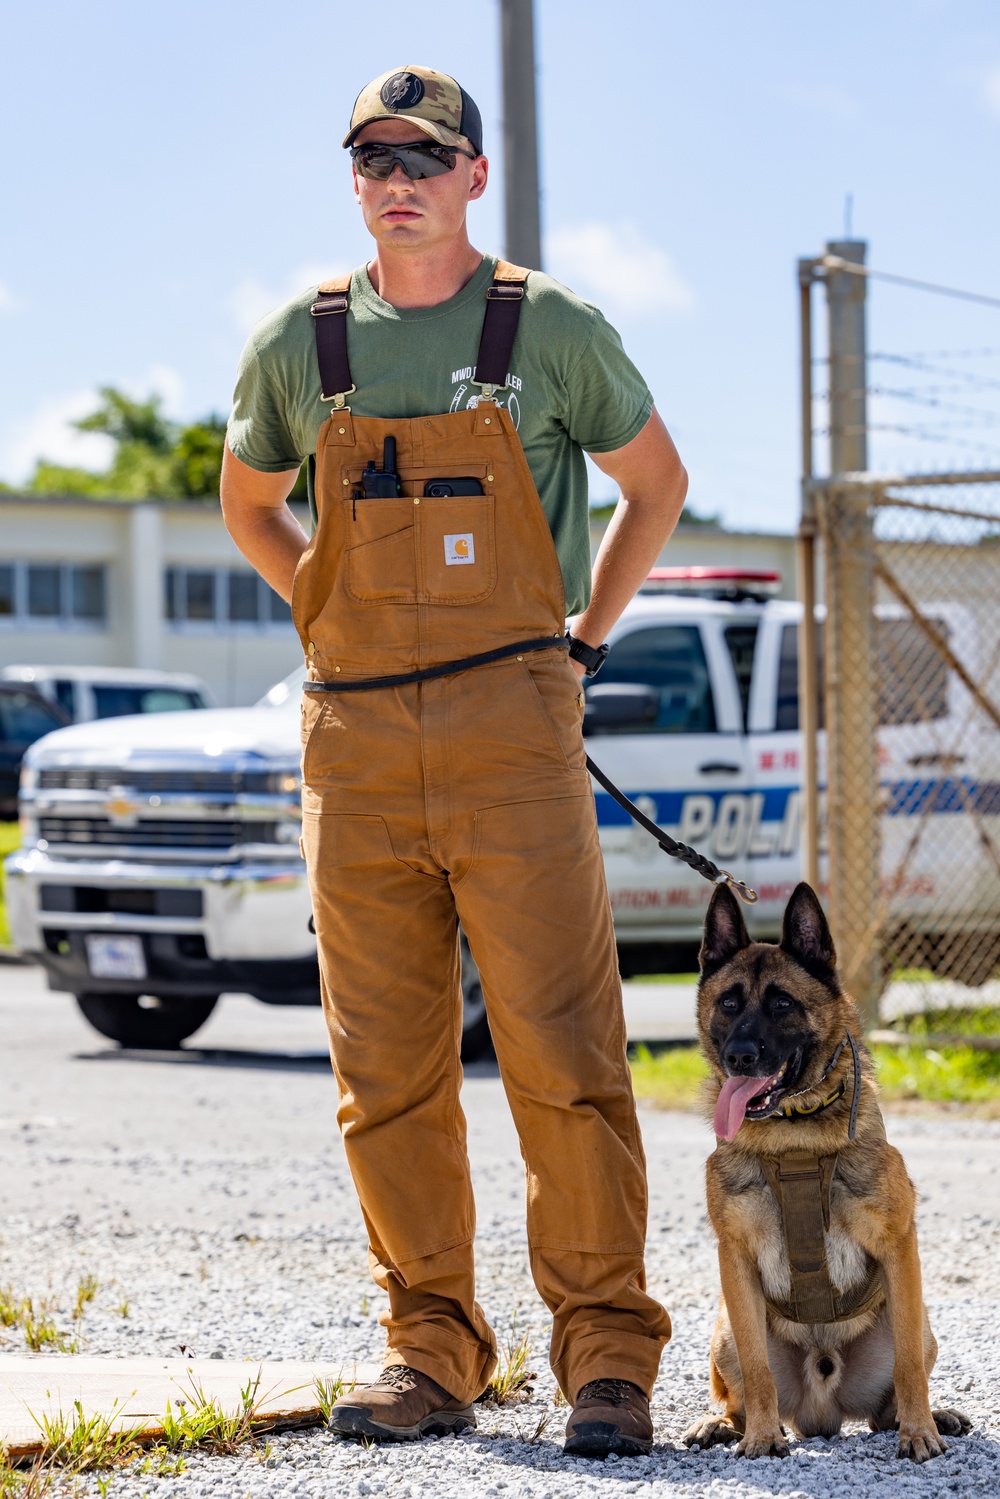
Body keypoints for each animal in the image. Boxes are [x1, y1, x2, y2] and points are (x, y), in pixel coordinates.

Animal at [683, 875, 971, 1463]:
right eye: (728, 1003)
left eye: (782, 1004)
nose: (739, 1056)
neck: (795, 1135)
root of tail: (823, 1409)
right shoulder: (735, 1260)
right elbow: (758, 1370)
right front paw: (762, 1437)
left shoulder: (898, 1248)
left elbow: (909, 1368)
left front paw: (920, 1432)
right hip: (723, 1329)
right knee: (735, 1393)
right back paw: (721, 1423)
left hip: (921, 1321)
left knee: (893, 1394)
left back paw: (933, 1417)